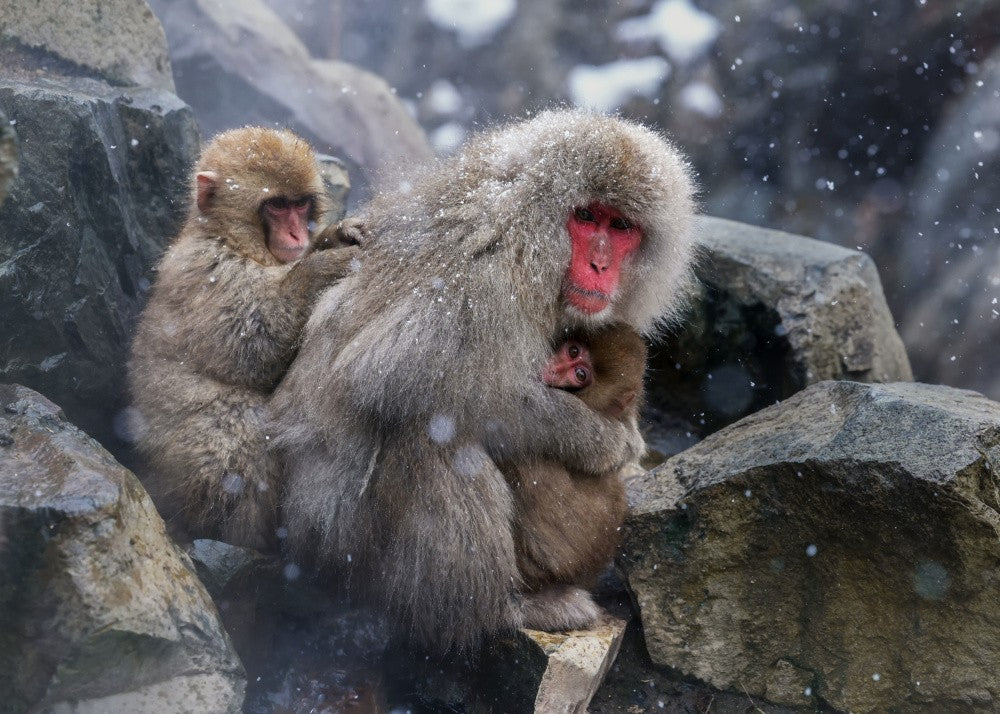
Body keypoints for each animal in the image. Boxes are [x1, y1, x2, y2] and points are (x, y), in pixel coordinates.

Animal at [128, 127, 361, 551]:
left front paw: (333, 236)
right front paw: (319, 268)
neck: (231, 239)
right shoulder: (209, 269)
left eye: (300, 205)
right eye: (277, 206)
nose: (297, 233)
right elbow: (249, 350)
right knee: (237, 427)